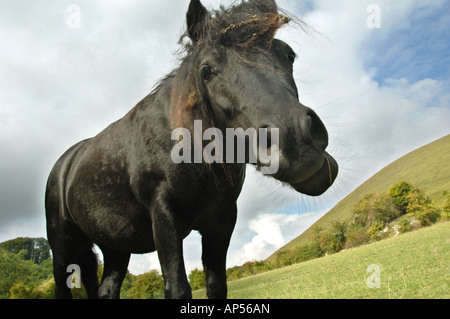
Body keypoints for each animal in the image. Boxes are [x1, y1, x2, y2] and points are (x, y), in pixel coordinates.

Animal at [45, 0, 338, 300]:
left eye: (288, 55)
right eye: (206, 71)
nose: (295, 140)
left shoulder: (221, 219)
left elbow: (217, 286)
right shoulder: (164, 217)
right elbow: (177, 288)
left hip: (116, 247)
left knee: (106, 289)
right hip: (63, 247)